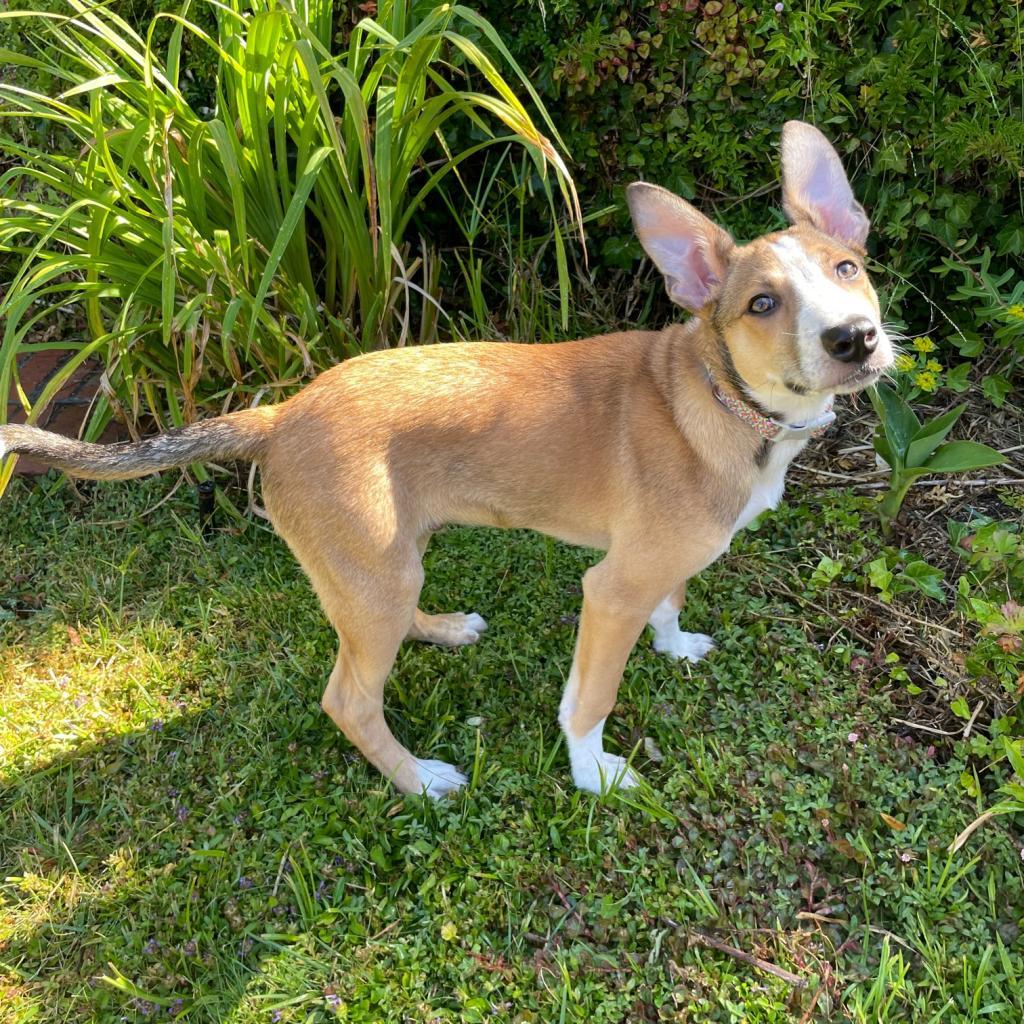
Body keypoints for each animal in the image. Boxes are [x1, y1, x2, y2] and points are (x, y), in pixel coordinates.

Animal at [0, 117, 892, 790]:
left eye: (848, 267)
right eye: (762, 304)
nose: (855, 339)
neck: (717, 395)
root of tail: (282, 413)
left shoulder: (665, 563)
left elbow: (670, 603)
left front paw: (673, 647)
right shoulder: (610, 590)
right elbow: (588, 701)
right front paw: (592, 775)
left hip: (387, 561)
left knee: (381, 625)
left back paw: (441, 629)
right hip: (375, 575)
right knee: (349, 699)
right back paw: (419, 779)